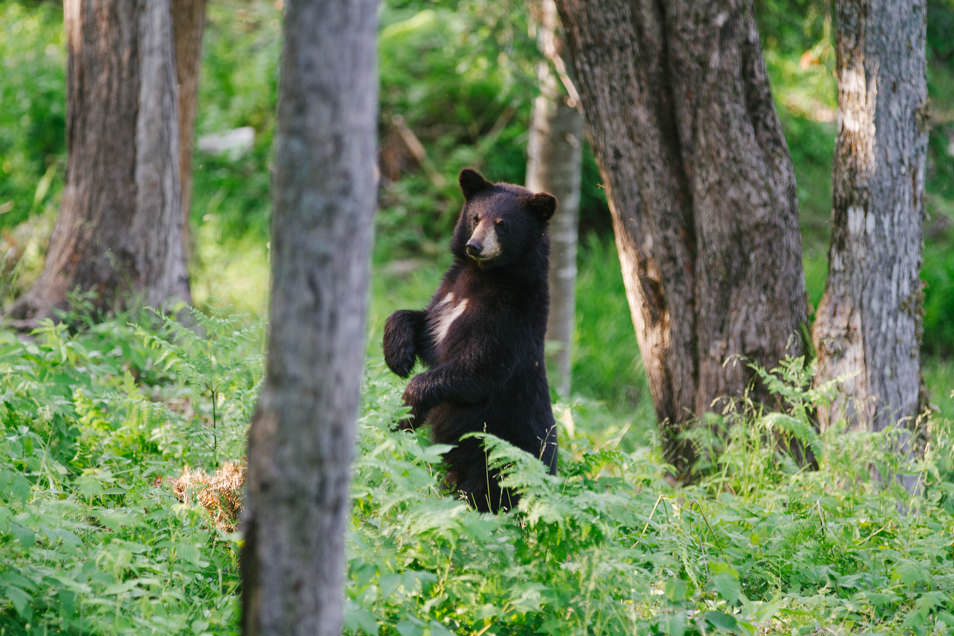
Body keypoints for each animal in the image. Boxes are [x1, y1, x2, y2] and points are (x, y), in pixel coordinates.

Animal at [382, 169, 556, 512]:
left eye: (502, 224)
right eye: (476, 217)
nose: (474, 246)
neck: (484, 276)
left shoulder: (510, 318)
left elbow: (477, 368)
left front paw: (409, 405)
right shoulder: (447, 294)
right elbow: (424, 327)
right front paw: (398, 356)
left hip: (498, 462)